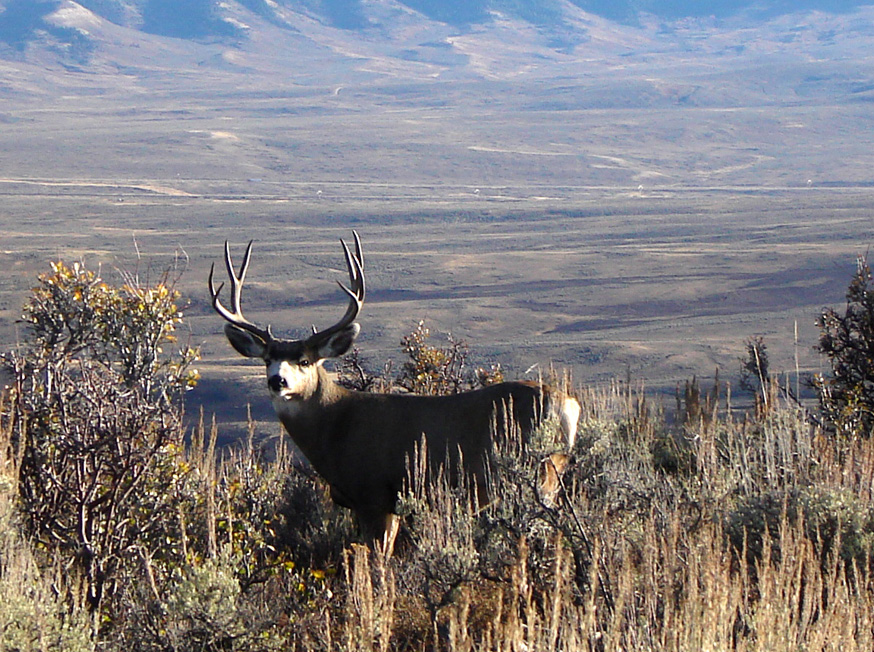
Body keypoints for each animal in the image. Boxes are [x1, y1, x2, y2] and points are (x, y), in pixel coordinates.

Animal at [209, 232, 580, 552]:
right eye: (268, 358)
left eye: (304, 360)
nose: (278, 382)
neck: (335, 428)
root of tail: (568, 405)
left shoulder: (373, 493)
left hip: (538, 476)